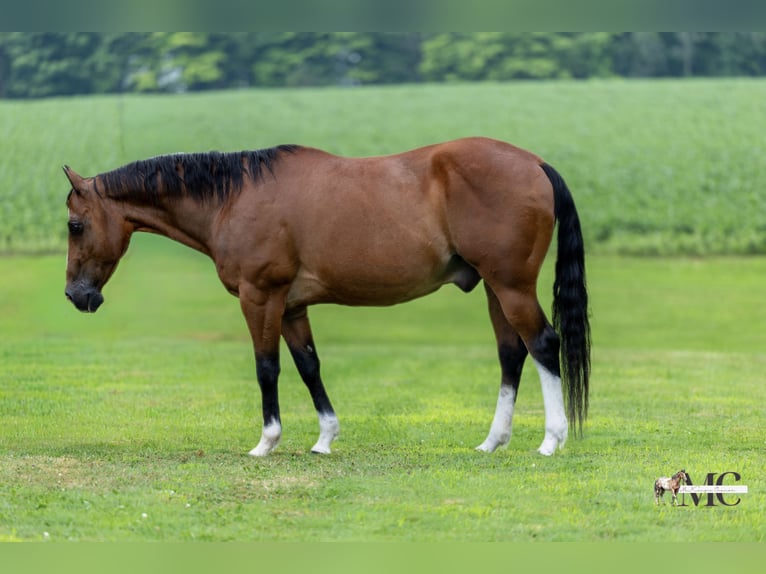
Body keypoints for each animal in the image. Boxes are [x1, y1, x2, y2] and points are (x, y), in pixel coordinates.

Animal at [64, 136, 590, 457]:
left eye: (74, 224)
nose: (75, 294)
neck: (234, 198)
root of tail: (535, 164)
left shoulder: (260, 297)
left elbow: (267, 367)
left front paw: (267, 442)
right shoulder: (292, 306)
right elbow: (309, 366)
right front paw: (325, 438)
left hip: (511, 287)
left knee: (543, 344)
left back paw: (551, 440)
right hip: (495, 290)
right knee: (511, 354)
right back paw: (492, 442)